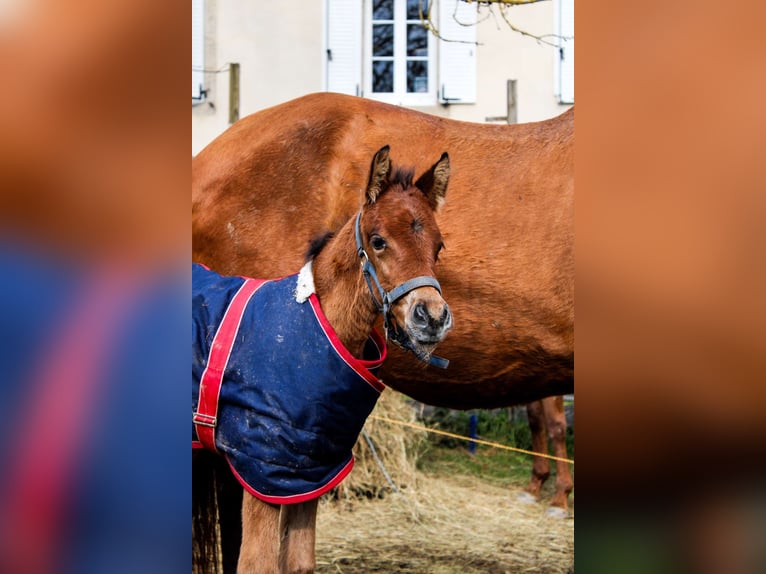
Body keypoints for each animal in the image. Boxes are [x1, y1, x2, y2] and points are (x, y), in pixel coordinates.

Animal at [195, 146, 452, 572]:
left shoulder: (307, 472)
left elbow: (299, 561)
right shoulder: (262, 469)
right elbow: (258, 564)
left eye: (438, 246)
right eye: (378, 241)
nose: (431, 317)